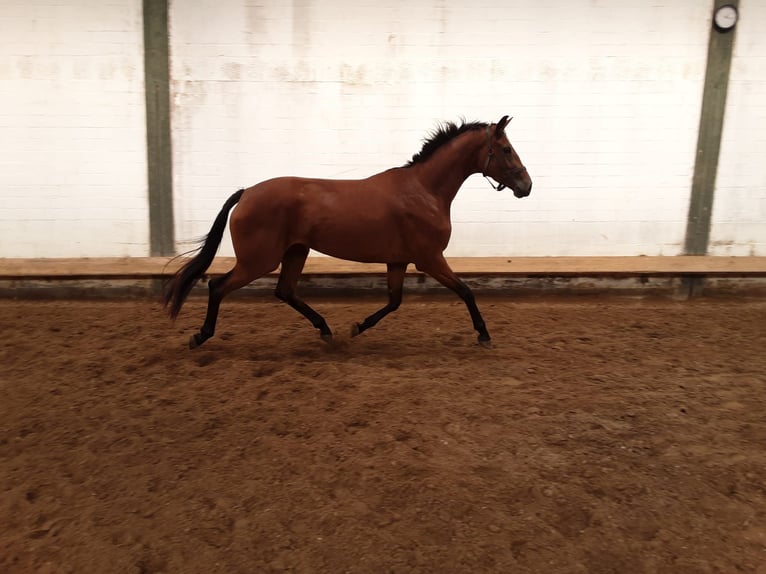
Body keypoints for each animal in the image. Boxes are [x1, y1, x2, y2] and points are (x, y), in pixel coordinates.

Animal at [162, 115, 536, 348]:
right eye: (506, 149)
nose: (527, 186)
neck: (424, 190)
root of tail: (247, 192)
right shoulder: (430, 259)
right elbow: (466, 291)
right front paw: (484, 335)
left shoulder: (399, 261)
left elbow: (394, 302)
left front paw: (357, 327)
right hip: (259, 261)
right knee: (218, 286)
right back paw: (200, 336)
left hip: (295, 252)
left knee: (285, 291)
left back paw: (327, 331)